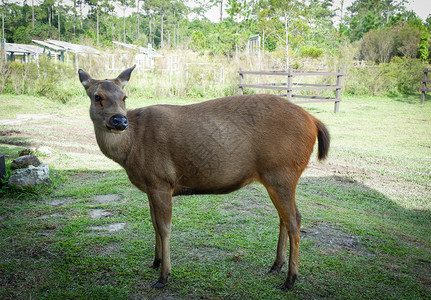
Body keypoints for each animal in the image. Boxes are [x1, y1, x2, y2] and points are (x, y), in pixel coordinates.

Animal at [78, 65, 330, 290]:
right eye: (97, 96)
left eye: (124, 97)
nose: (119, 121)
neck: (131, 148)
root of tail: (314, 121)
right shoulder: (151, 185)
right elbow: (154, 223)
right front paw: (155, 262)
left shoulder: (161, 180)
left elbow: (165, 227)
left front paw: (164, 276)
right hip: (275, 177)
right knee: (284, 218)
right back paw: (276, 265)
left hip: (282, 172)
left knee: (295, 220)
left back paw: (290, 279)